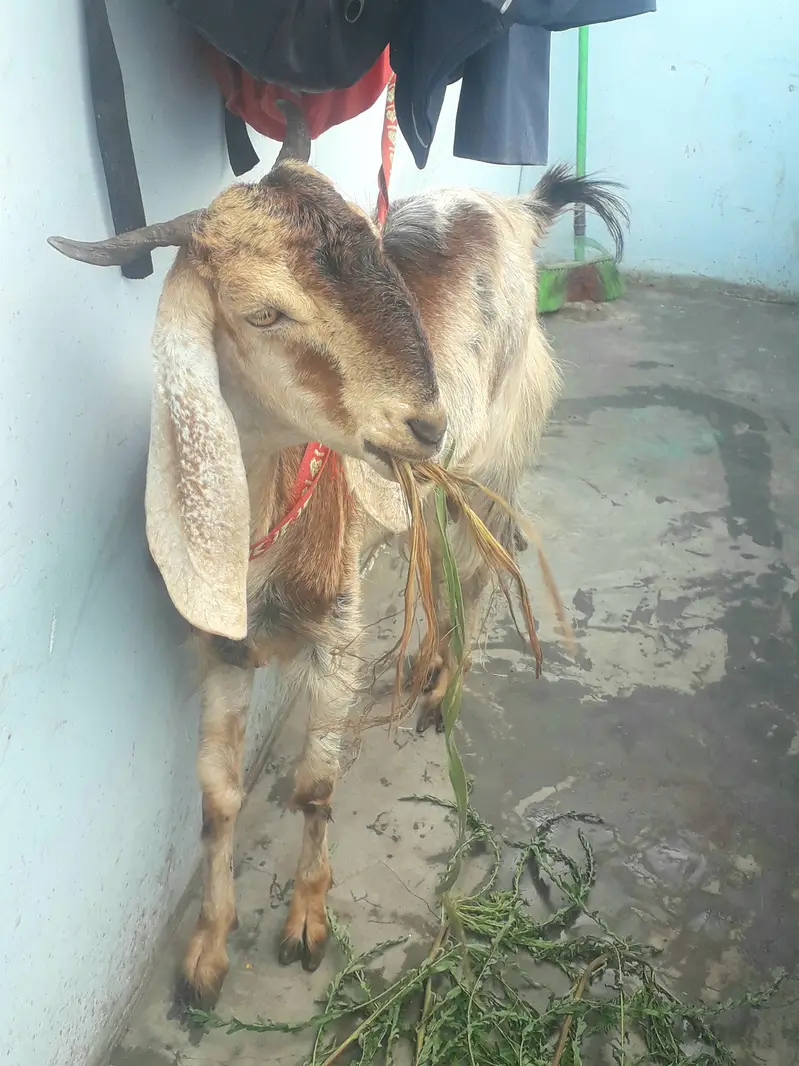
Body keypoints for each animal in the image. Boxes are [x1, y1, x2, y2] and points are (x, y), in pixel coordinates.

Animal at [49, 104, 627, 1007]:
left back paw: (442, 689)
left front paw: (306, 924)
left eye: (373, 253)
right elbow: (216, 799)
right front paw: (206, 957)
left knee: (480, 568)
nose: (423, 421)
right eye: (263, 312)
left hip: (494, 453)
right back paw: (424, 665)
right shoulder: (223, 647)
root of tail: (516, 210)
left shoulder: (339, 635)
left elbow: (315, 785)